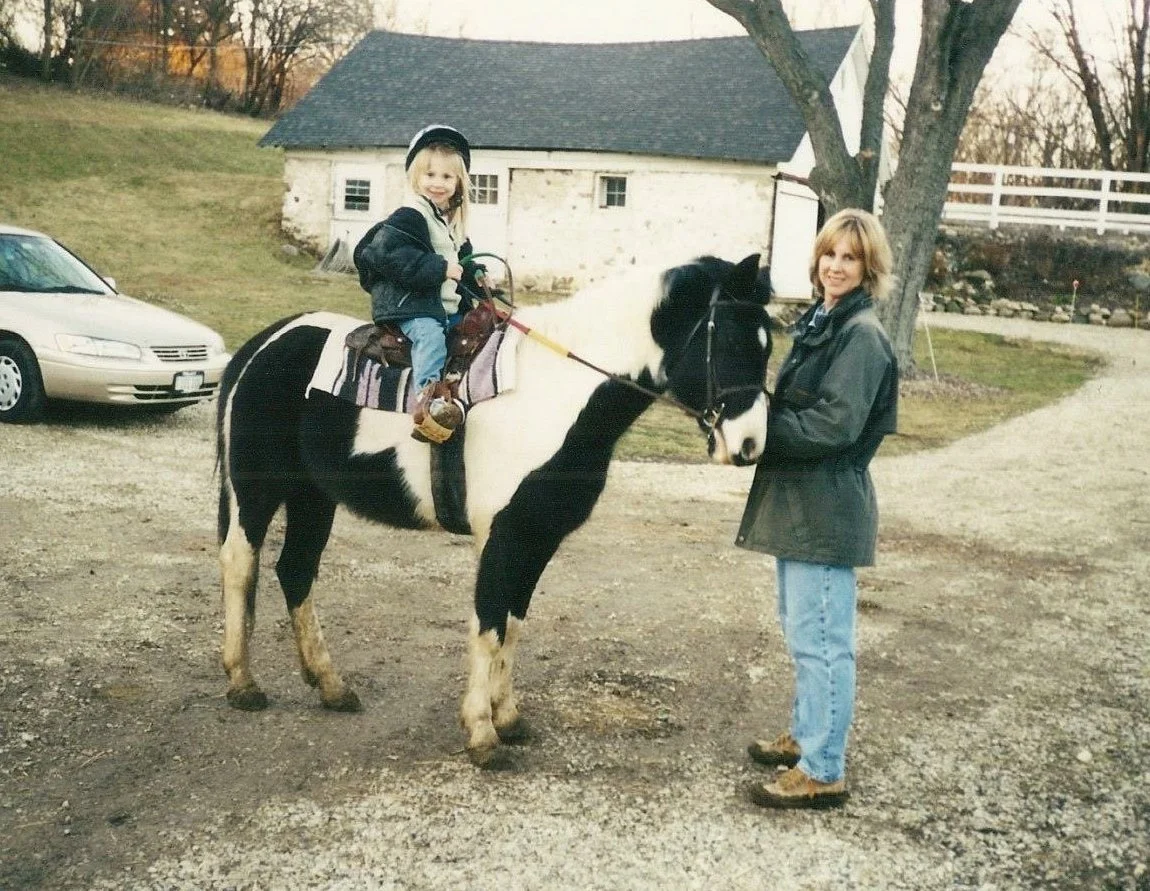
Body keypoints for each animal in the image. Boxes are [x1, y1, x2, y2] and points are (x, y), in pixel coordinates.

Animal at [215, 252, 773, 768]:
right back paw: (243, 683)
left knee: (296, 571)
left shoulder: (538, 537)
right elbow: (488, 626)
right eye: (733, 342)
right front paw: (482, 734)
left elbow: (514, 625)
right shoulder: (501, 535)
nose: (750, 445)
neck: (553, 395)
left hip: (313, 497)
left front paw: (509, 719)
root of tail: (266, 342)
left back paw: (332, 686)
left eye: (767, 346)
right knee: (240, 565)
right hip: (256, 490)